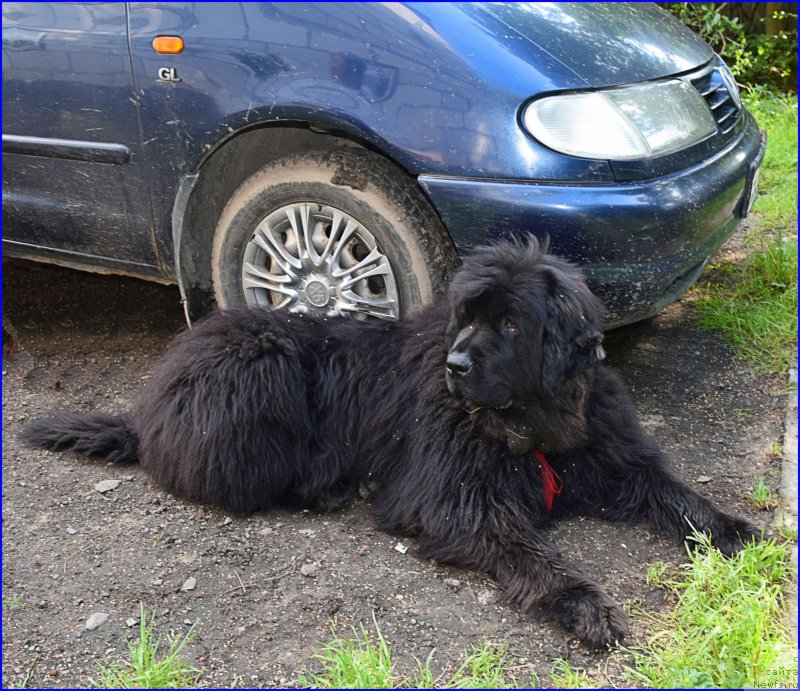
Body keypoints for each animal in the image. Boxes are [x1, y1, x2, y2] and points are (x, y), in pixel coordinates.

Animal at [20, 238, 756, 648]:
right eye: (466, 317)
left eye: (511, 324)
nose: (456, 366)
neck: (533, 425)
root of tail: (149, 400)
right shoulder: (456, 496)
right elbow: (527, 548)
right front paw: (583, 603)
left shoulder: (608, 454)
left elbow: (669, 490)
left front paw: (736, 529)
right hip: (261, 365)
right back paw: (325, 487)